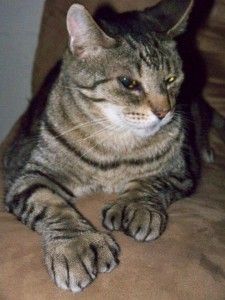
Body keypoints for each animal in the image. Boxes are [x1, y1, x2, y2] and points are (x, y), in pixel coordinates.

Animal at [2, 0, 217, 292]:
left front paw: (136, 206)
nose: (164, 112)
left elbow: (152, 182)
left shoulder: (181, 172)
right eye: (128, 82)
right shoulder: (26, 174)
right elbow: (50, 204)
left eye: (171, 79)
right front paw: (75, 246)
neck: (116, 145)